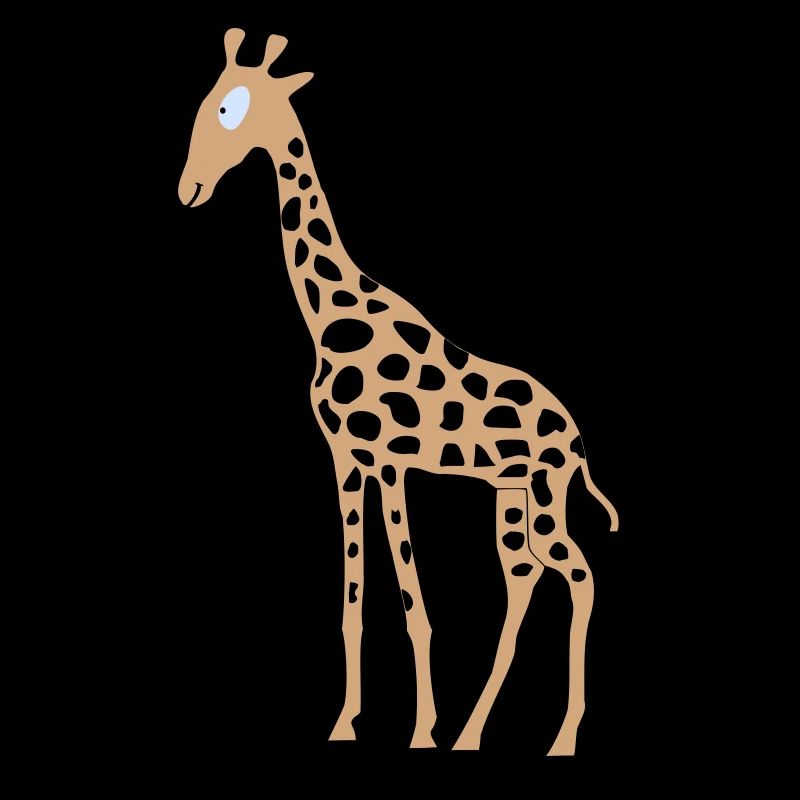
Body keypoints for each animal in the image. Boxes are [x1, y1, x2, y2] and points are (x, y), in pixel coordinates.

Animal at [179, 29, 619, 755]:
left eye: (228, 107)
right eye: (208, 99)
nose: (189, 189)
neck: (331, 315)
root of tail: (579, 439)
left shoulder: (388, 463)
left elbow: (415, 603)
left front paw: (418, 731)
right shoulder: (346, 460)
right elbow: (354, 601)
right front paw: (345, 724)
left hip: (545, 496)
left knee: (580, 575)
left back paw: (560, 737)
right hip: (512, 501)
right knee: (526, 582)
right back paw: (473, 732)